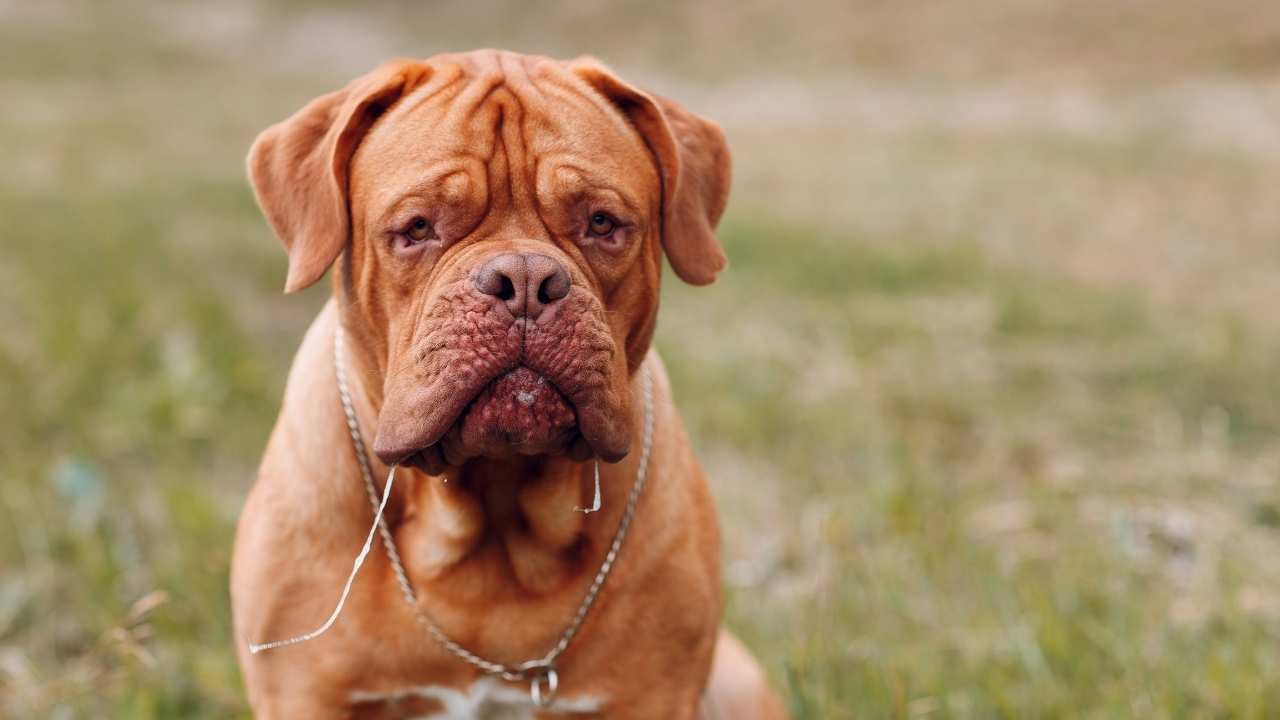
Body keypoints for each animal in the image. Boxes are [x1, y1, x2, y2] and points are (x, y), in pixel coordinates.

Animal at [234, 50, 783, 717]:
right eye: (418, 227)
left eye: (602, 222)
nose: (524, 280)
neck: (492, 504)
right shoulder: (305, 693)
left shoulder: (655, 695)